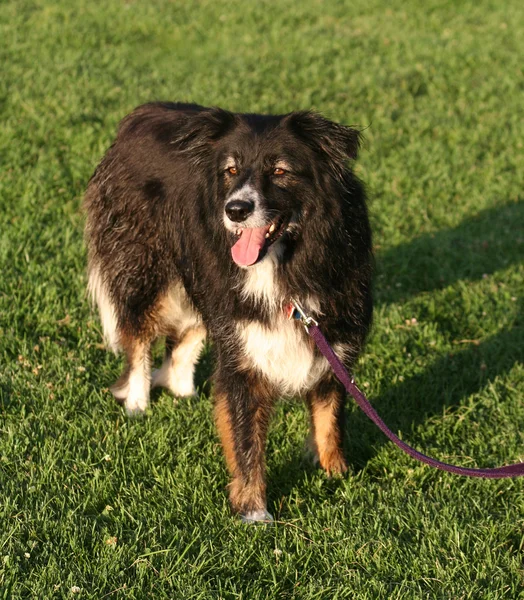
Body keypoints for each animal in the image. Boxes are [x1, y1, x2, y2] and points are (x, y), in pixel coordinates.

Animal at [84, 102, 372, 520]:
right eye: (231, 171)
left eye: (280, 170)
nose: (235, 210)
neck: (288, 264)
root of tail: (138, 116)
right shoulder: (244, 358)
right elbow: (246, 438)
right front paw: (254, 514)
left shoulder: (334, 336)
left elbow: (329, 415)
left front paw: (336, 473)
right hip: (145, 265)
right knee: (138, 332)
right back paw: (138, 402)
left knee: (188, 335)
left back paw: (182, 391)